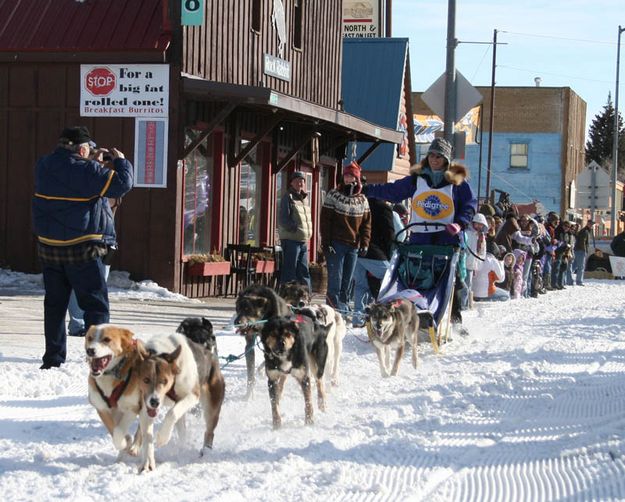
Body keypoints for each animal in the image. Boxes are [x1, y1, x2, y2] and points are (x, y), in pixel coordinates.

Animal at [84, 326, 149, 454]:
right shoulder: (102, 408)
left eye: (106, 339)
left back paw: (135, 447)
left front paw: (125, 443)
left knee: (141, 428)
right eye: (89, 338)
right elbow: (113, 429)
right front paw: (126, 439)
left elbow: (118, 431)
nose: (90, 350)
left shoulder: (133, 408)